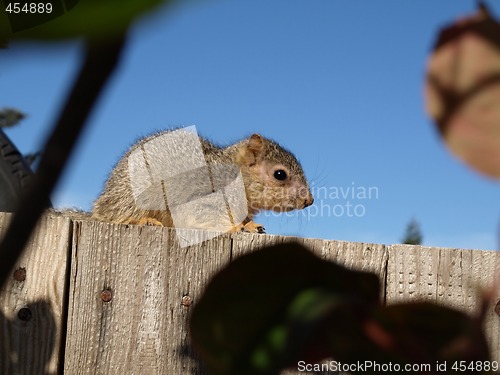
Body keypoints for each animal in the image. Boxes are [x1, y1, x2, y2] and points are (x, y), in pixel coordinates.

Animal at [91, 131, 312, 234]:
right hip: (131, 198)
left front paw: (250, 225)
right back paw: (144, 220)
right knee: (115, 216)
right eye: (280, 174)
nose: (309, 201)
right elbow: (209, 215)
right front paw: (235, 228)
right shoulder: (203, 196)